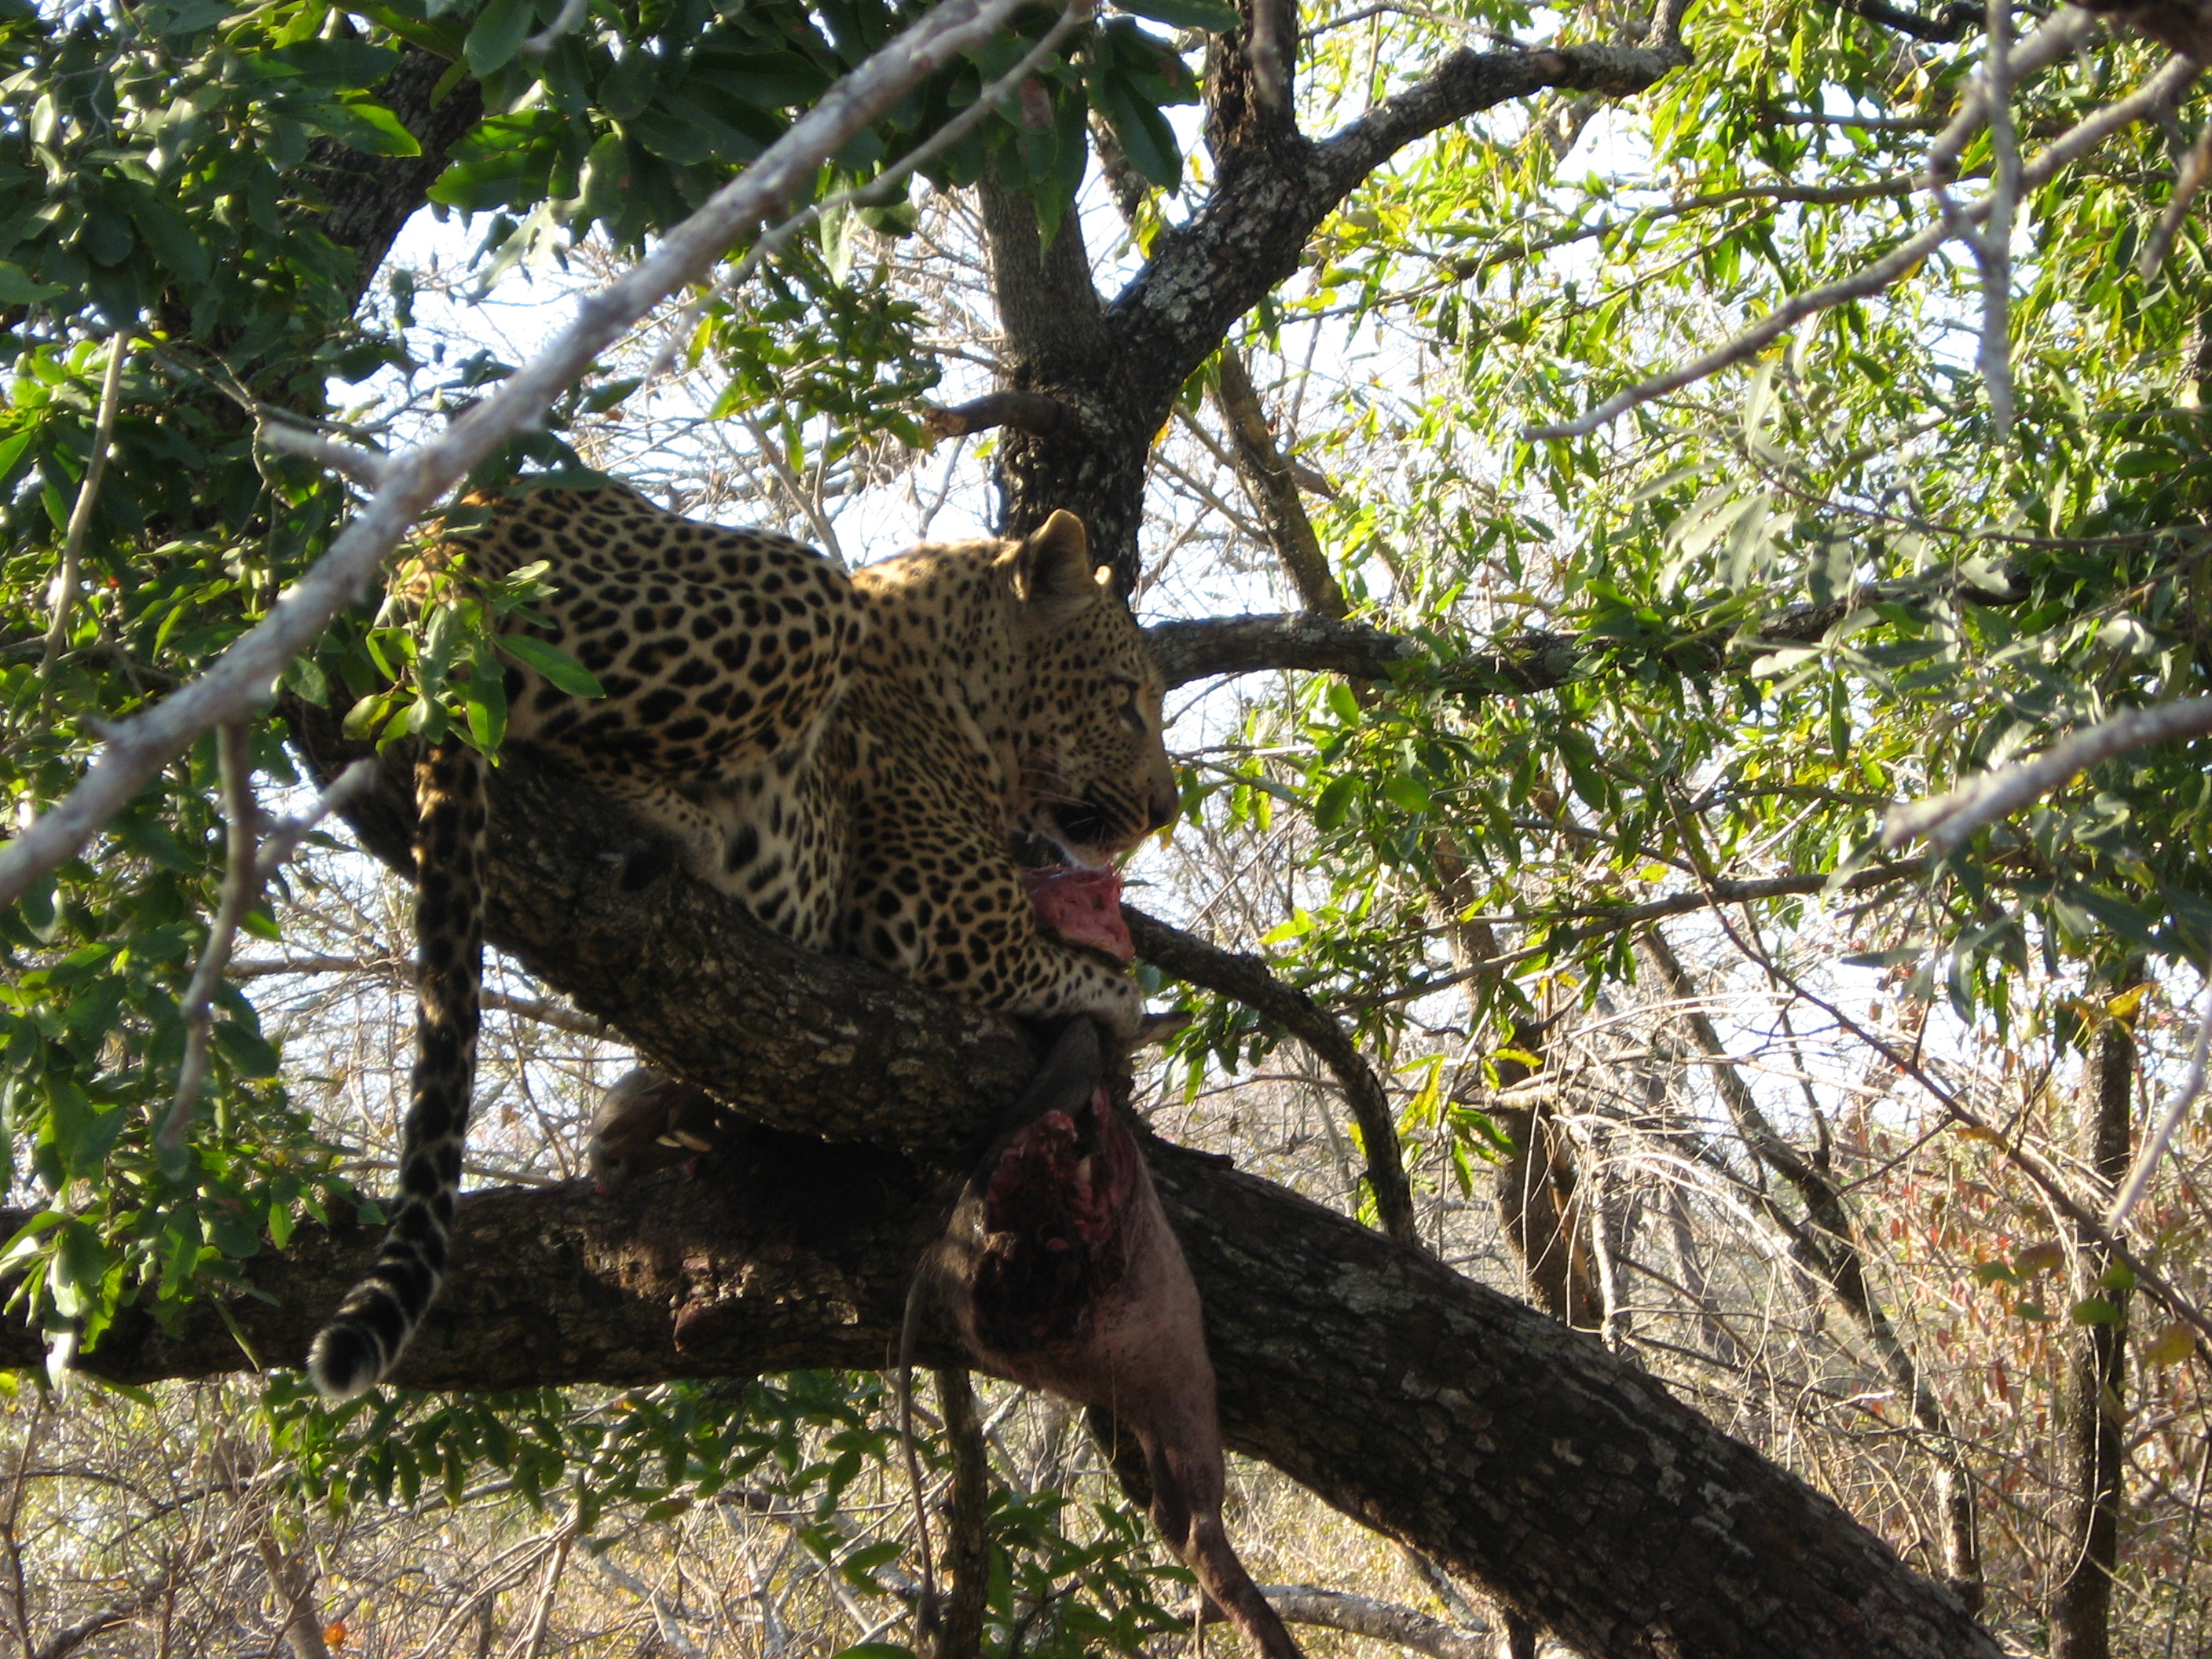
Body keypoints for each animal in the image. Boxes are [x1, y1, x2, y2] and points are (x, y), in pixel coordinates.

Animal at [307, 484, 1194, 1406]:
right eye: (1125, 699)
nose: (1164, 809)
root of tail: (438, 545)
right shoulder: (942, 918)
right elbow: (1091, 974)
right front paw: (1131, 1008)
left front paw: (642, 1121)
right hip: (794, 597)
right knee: (545, 729)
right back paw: (687, 829)